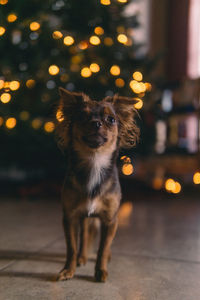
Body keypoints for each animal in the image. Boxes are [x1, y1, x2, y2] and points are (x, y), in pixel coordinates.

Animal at [54, 87, 139, 284]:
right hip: (85, 216)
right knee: (85, 236)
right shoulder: (70, 217)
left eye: (111, 119)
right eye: (82, 116)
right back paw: (82, 257)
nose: (96, 123)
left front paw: (101, 270)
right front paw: (68, 270)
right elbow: (72, 247)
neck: (94, 162)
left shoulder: (110, 220)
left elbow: (103, 248)